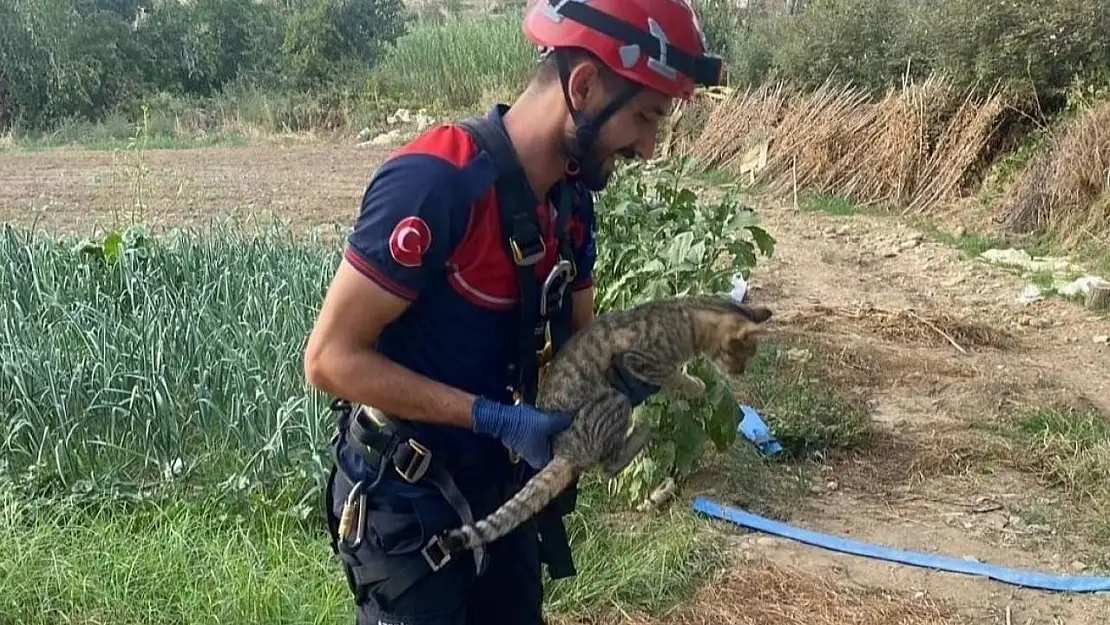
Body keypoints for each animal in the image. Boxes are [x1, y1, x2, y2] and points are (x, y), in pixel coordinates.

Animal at [437, 295, 777, 555]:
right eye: (743, 356)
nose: (741, 372)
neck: (687, 317)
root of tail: (564, 452)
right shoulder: (638, 360)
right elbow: (672, 375)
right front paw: (695, 386)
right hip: (615, 398)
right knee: (607, 466)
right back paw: (643, 429)